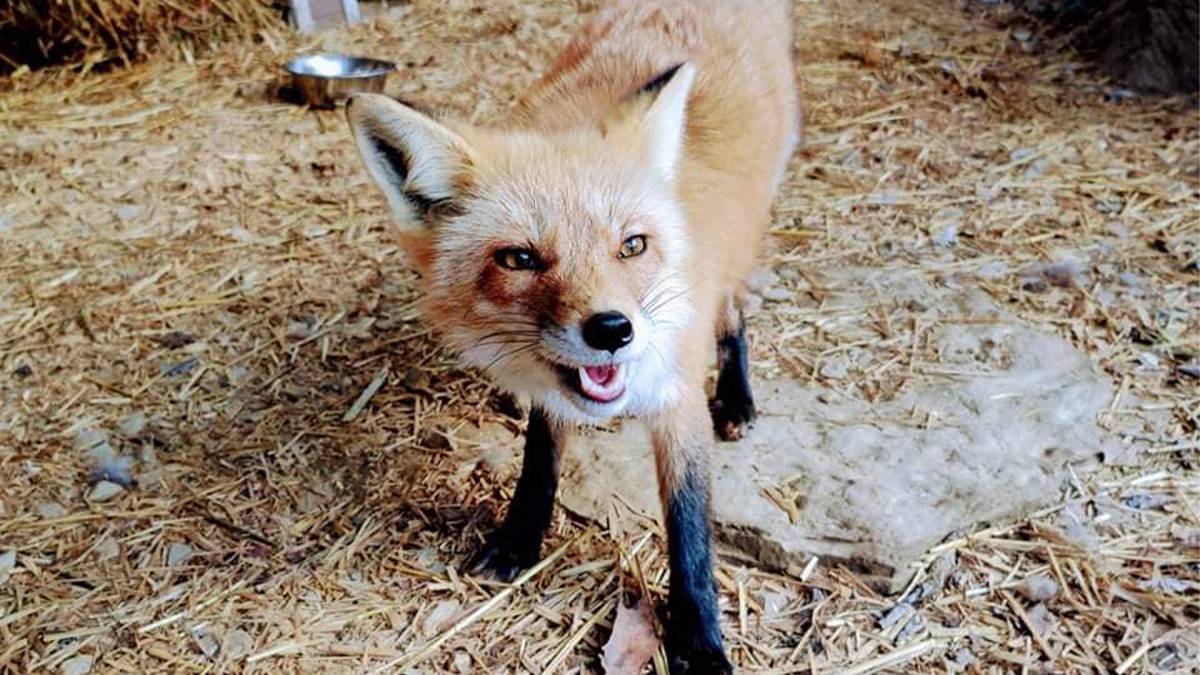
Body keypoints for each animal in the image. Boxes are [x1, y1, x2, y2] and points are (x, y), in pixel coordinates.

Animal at [343, 0, 801, 667]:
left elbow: (689, 524)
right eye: (519, 259)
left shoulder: (677, 394)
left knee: (734, 313)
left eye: (631, 246)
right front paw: (518, 540)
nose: (613, 330)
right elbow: (540, 459)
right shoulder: (558, 390)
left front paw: (699, 639)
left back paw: (738, 396)